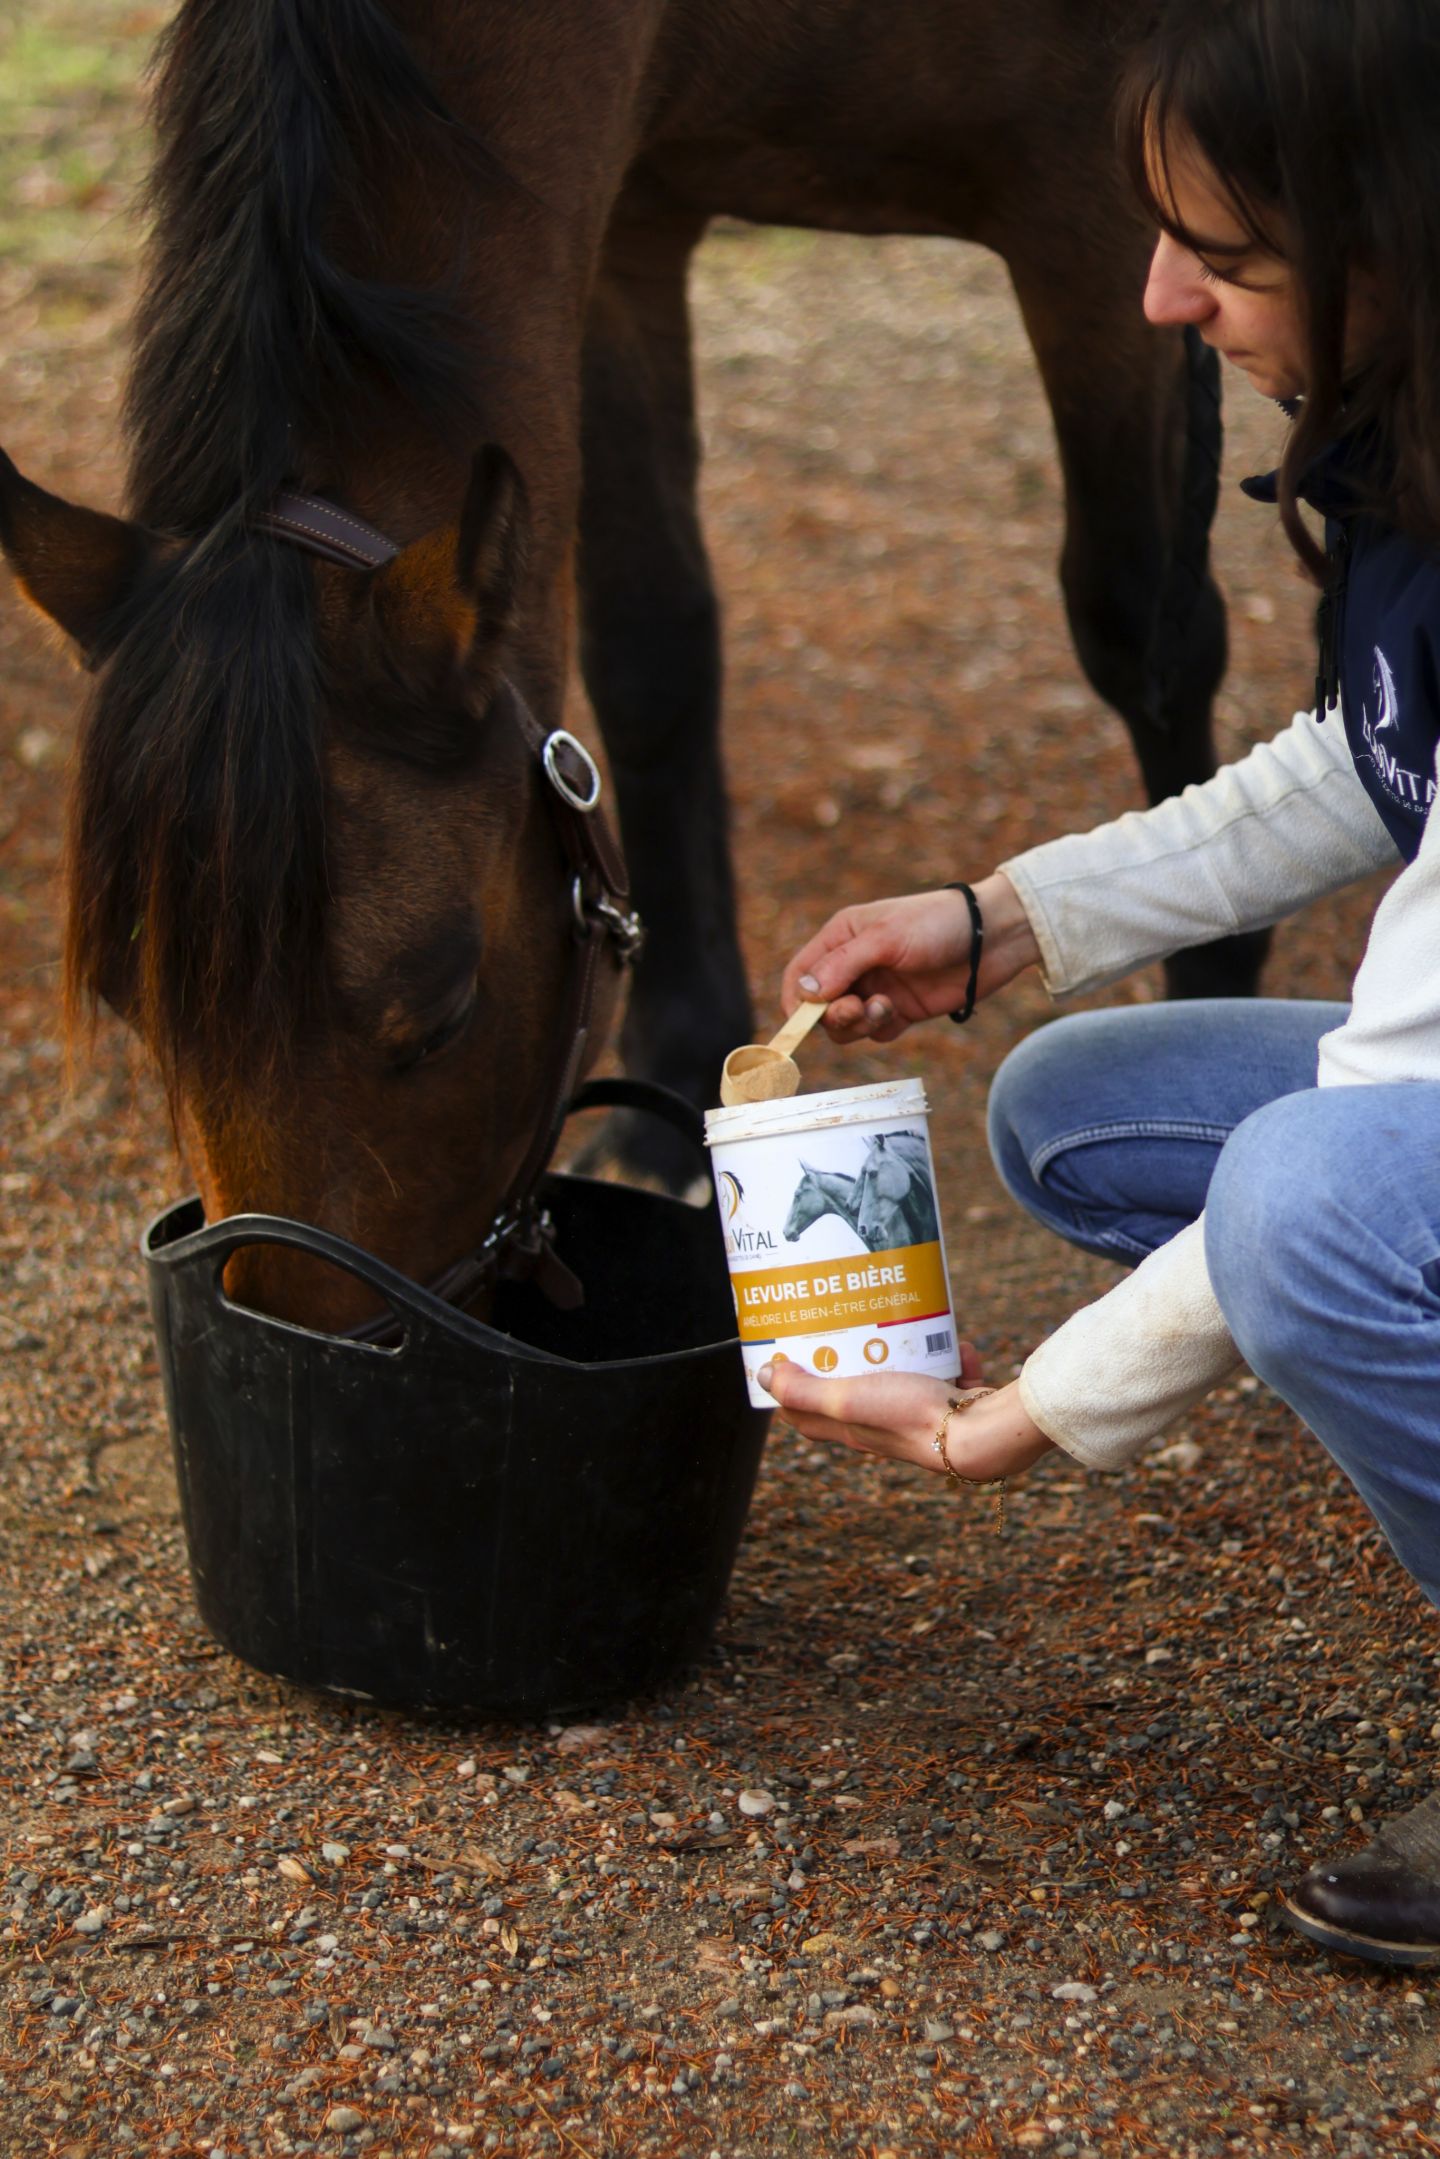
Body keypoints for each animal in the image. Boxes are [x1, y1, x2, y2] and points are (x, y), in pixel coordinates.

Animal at [0, 0, 1253, 1325]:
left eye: (440, 1014)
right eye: (130, 1004)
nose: (293, 1339)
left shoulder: (1093, 201)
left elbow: (1148, 627)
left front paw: (1217, 990)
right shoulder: (619, 224)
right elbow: (652, 651)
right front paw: (682, 1064)